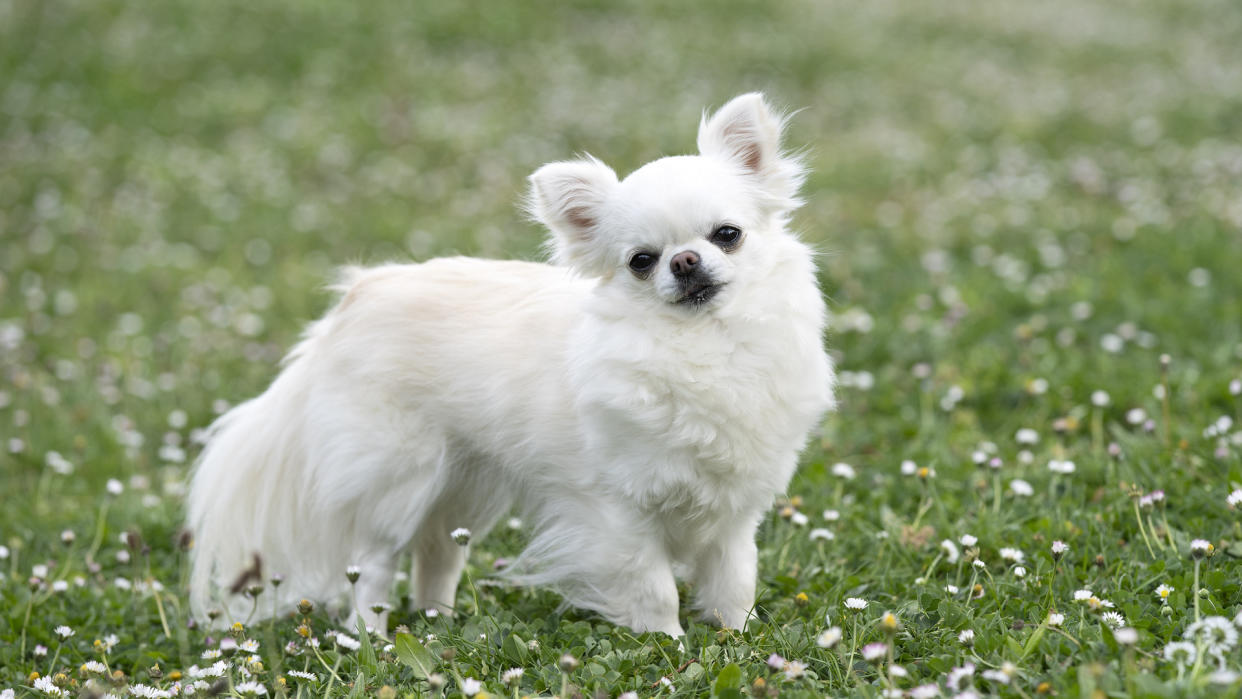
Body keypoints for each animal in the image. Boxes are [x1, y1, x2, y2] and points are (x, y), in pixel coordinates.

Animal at [188, 91, 834, 635]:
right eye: (642, 261)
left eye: (727, 235)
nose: (685, 262)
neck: (704, 345)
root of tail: (354, 299)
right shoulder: (618, 512)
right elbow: (653, 586)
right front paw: (668, 645)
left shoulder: (734, 513)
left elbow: (734, 580)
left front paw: (736, 639)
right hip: (397, 478)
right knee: (373, 564)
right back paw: (373, 636)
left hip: (461, 487)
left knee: (436, 555)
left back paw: (438, 622)